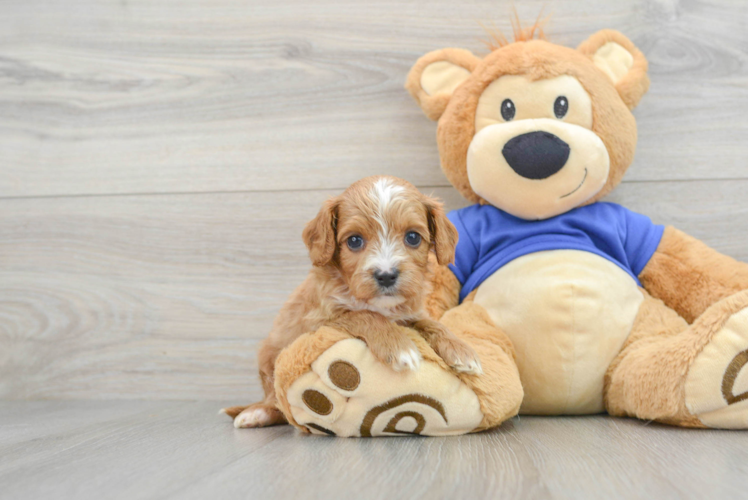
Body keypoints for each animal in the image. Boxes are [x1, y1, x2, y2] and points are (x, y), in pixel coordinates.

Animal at [228, 175, 482, 426]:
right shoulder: (318, 322)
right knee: (275, 400)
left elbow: (431, 323)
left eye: (412, 237)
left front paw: (461, 350)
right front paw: (398, 346)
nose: (386, 275)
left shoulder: (410, 313)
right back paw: (256, 413)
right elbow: (362, 314)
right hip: (268, 358)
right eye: (354, 241)